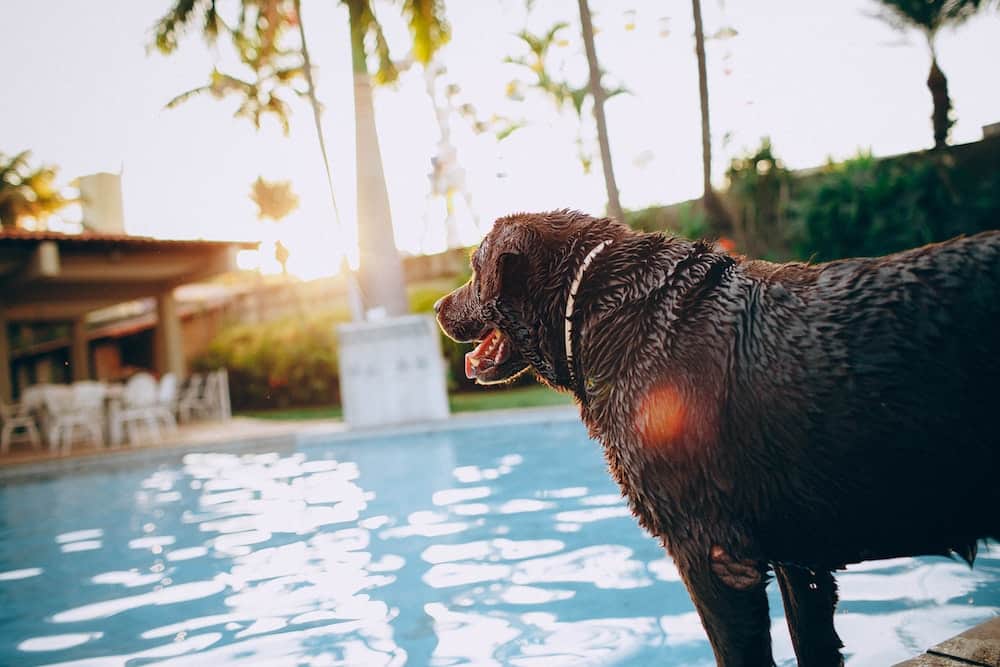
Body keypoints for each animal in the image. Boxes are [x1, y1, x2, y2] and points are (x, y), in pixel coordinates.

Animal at [436, 211, 1000, 667]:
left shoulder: (710, 554)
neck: (609, 313)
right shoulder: (800, 558)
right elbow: (813, 644)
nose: (439, 305)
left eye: (474, 270)